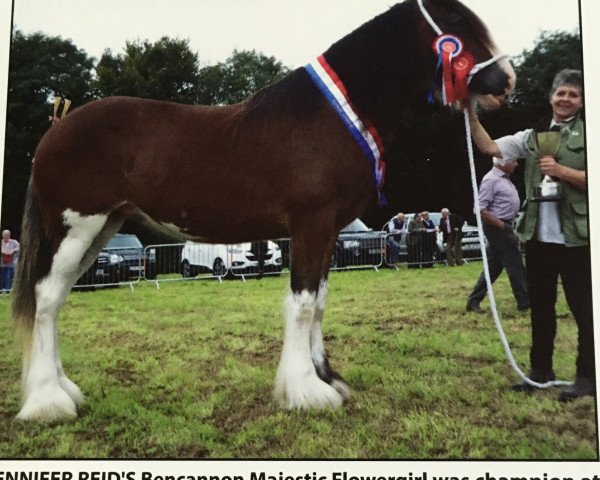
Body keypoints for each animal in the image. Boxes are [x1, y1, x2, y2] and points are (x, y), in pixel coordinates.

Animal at [11, 0, 512, 420]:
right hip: (76, 229)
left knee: (55, 300)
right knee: (47, 298)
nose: (506, 80)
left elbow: (320, 302)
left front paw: (328, 379)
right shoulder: (311, 224)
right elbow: (303, 305)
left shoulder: (329, 230)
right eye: (457, 21)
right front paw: (306, 391)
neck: (330, 117)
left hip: (100, 230)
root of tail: (54, 130)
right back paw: (49, 403)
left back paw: (65, 391)